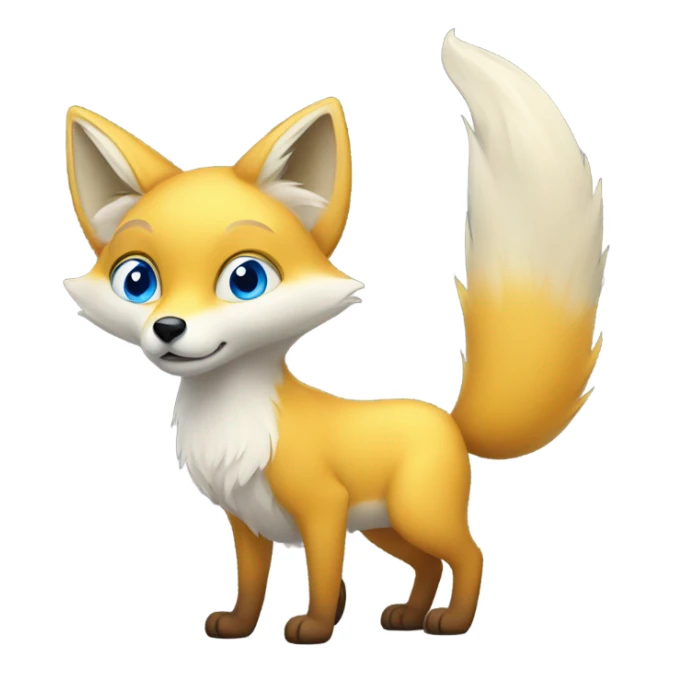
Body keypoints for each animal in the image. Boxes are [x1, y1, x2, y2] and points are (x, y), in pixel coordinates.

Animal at [63, 30, 606, 645]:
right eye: (137, 281)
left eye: (245, 279)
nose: (168, 328)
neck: (235, 419)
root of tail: (448, 421)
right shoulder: (245, 521)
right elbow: (251, 584)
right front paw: (238, 626)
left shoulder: (324, 509)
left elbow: (322, 577)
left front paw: (316, 627)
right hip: (384, 528)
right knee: (428, 564)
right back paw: (407, 616)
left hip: (416, 514)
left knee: (471, 555)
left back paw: (454, 622)